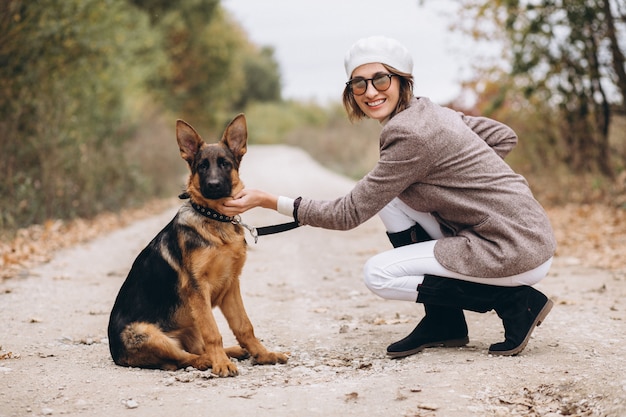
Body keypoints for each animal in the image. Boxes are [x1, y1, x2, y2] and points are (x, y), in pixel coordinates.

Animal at [108, 114, 288, 376]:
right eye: (202, 166)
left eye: (225, 164)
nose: (213, 185)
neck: (215, 219)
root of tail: (115, 354)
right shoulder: (198, 288)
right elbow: (213, 333)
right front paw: (221, 364)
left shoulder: (231, 285)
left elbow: (245, 326)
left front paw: (263, 355)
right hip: (149, 333)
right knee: (183, 358)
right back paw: (209, 361)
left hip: (191, 322)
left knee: (194, 348)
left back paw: (233, 352)